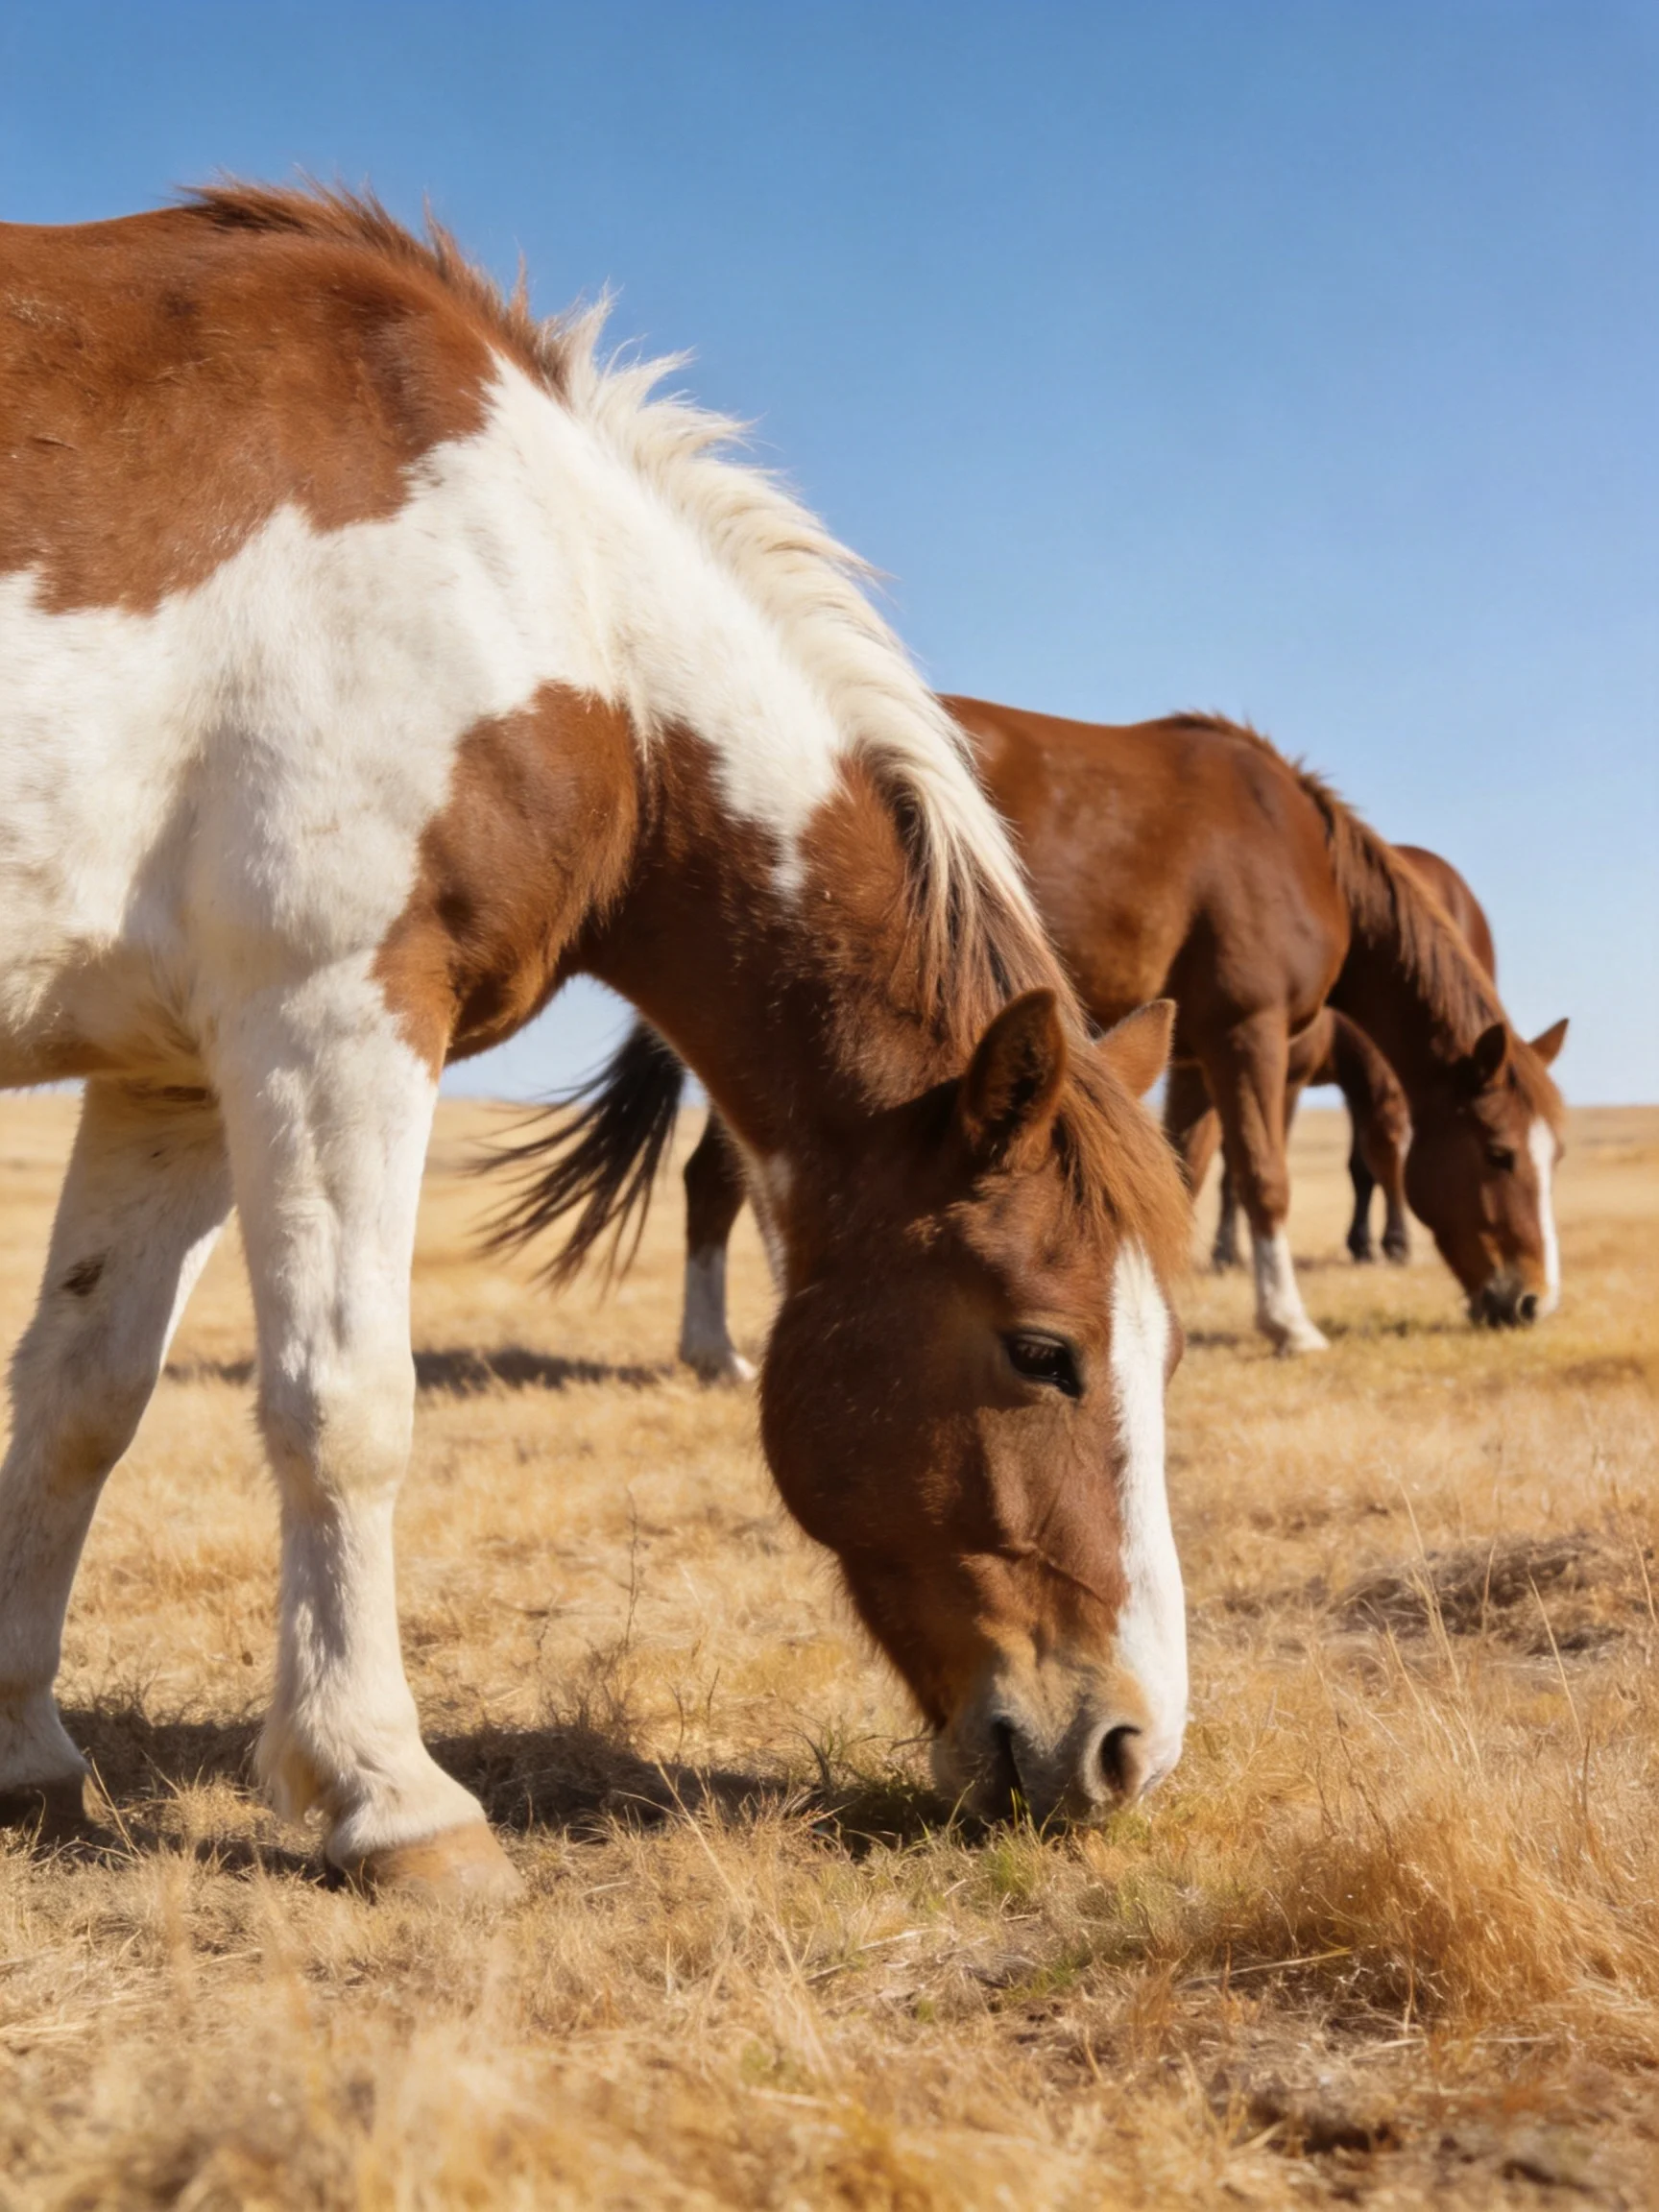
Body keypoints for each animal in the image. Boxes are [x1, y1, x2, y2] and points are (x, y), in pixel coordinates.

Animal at [0, 187, 1195, 1894]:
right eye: (1045, 1352)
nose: (1128, 1748)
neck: (537, 580)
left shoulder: (165, 1079)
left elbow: (81, 1401)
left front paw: (27, 1755)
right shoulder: (332, 1018)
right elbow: (344, 1405)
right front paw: (392, 1796)